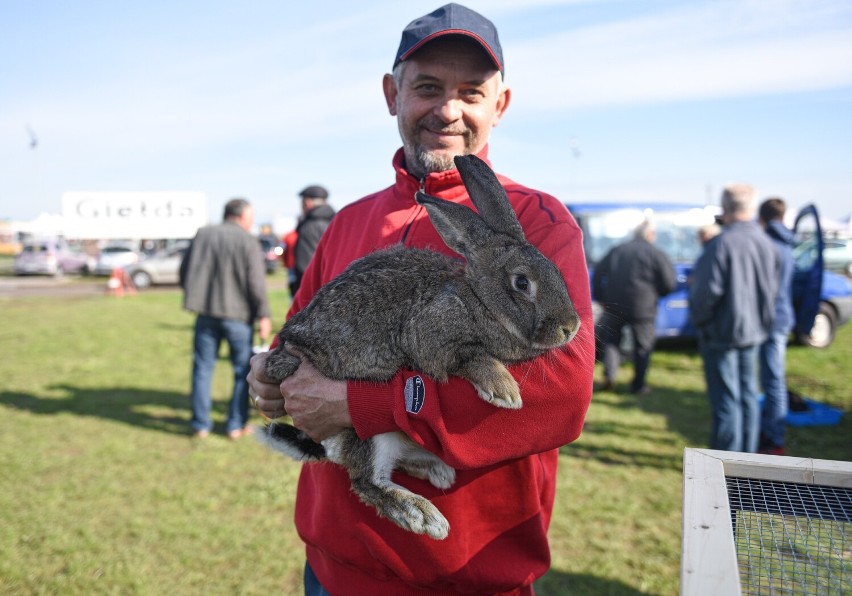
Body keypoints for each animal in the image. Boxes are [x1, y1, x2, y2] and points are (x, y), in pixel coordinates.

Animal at [260, 154, 580, 540]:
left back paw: (440, 472)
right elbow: (471, 355)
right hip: (368, 432)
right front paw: (504, 391)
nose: (571, 327)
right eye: (521, 283)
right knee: (366, 481)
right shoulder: (431, 335)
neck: (479, 300)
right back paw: (423, 515)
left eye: (556, 272)